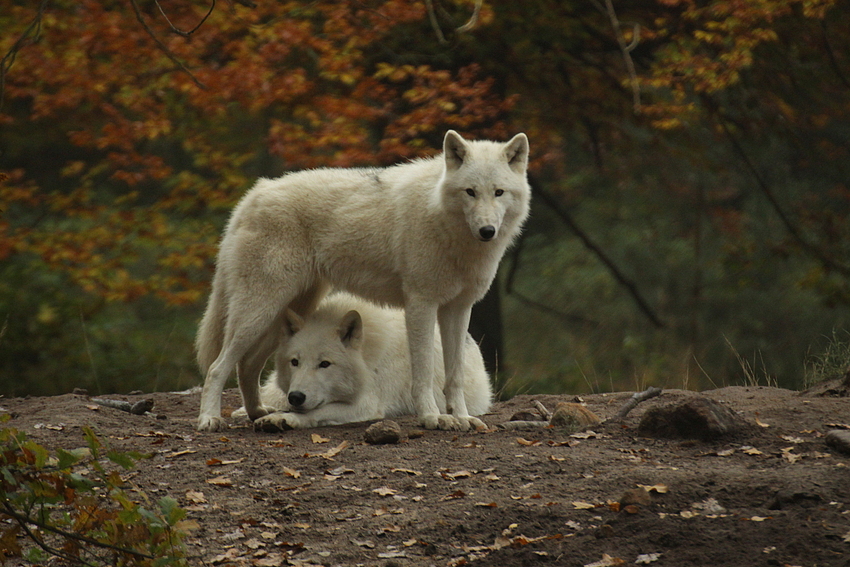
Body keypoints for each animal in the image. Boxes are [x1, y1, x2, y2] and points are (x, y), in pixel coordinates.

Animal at [229, 292, 494, 430]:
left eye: (325, 364)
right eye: (295, 362)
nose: (296, 397)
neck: (366, 355)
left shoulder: (367, 404)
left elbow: (314, 413)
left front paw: (283, 418)